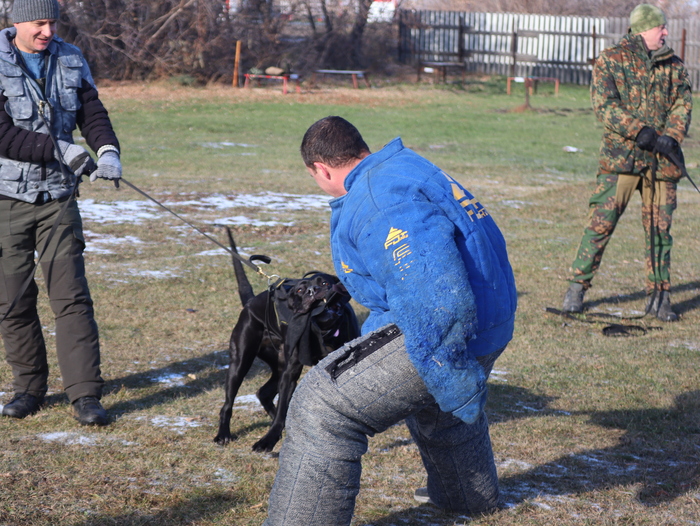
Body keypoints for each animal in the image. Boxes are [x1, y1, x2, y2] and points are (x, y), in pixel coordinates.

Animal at [214, 228, 360, 452]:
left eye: (324, 283)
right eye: (300, 290)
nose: (312, 291)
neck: (323, 330)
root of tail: (251, 301)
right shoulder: (291, 373)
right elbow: (284, 404)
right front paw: (268, 439)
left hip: (277, 365)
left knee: (264, 393)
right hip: (241, 363)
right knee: (228, 404)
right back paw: (223, 434)